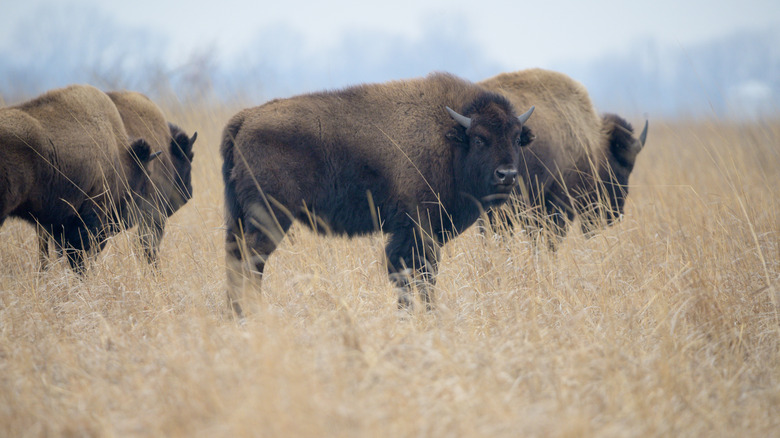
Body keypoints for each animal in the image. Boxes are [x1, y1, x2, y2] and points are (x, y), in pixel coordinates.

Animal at [221, 73, 535, 316]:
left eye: (516, 138)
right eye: (480, 139)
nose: (506, 175)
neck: (450, 139)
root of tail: (245, 118)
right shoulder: (417, 230)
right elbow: (417, 275)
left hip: (237, 218)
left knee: (235, 259)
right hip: (271, 217)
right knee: (252, 261)